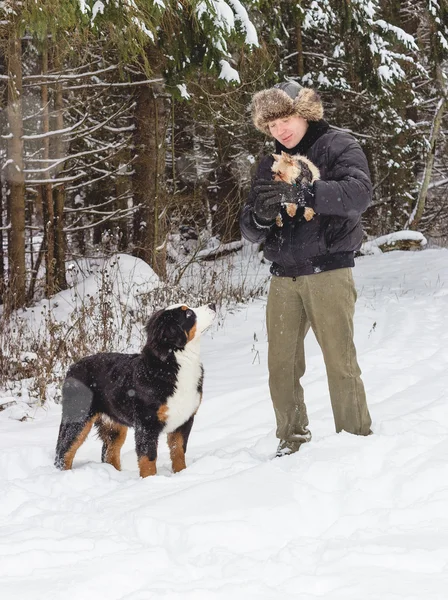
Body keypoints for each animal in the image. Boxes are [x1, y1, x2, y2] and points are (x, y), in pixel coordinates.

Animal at [55, 304, 216, 478]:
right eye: (188, 314)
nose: (212, 305)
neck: (174, 364)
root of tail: (72, 367)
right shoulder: (146, 424)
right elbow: (148, 458)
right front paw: (150, 480)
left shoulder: (184, 419)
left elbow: (178, 451)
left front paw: (181, 474)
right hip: (78, 417)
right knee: (64, 451)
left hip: (114, 425)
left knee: (109, 453)